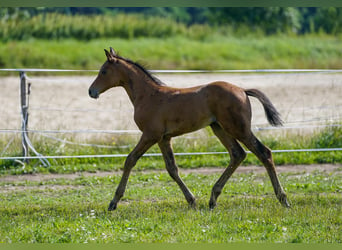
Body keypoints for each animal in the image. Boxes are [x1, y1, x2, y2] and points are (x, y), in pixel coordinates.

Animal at [87, 47, 288, 211]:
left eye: (103, 71)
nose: (91, 91)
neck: (148, 95)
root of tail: (243, 90)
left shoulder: (150, 135)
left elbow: (130, 159)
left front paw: (113, 202)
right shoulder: (164, 138)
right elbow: (172, 168)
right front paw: (192, 200)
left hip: (238, 128)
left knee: (264, 152)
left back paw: (283, 199)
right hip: (219, 128)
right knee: (238, 154)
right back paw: (213, 199)